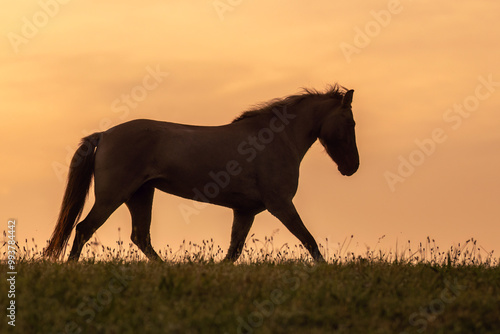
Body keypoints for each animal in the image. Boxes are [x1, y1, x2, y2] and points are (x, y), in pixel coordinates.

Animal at [46, 85, 360, 262]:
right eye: (350, 122)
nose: (352, 167)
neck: (276, 139)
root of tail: (104, 135)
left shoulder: (245, 211)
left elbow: (233, 253)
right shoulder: (280, 204)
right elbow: (309, 240)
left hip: (140, 194)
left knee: (140, 237)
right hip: (113, 195)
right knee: (84, 229)